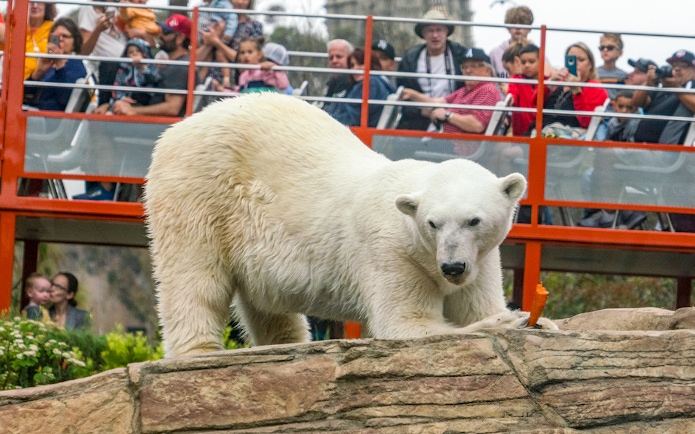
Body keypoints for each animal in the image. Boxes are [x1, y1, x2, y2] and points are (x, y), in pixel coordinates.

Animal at [145, 93, 557, 358]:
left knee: (268, 306)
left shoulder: (482, 257)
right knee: (195, 278)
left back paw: (288, 344)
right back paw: (198, 351)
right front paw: (511, 322)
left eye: (474, 220)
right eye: (433, 223)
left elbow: (474, 305)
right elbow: (406, 324)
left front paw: (542, 321)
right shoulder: (391, 252)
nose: (452, 267)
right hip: (199, 192)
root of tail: (176, 130)